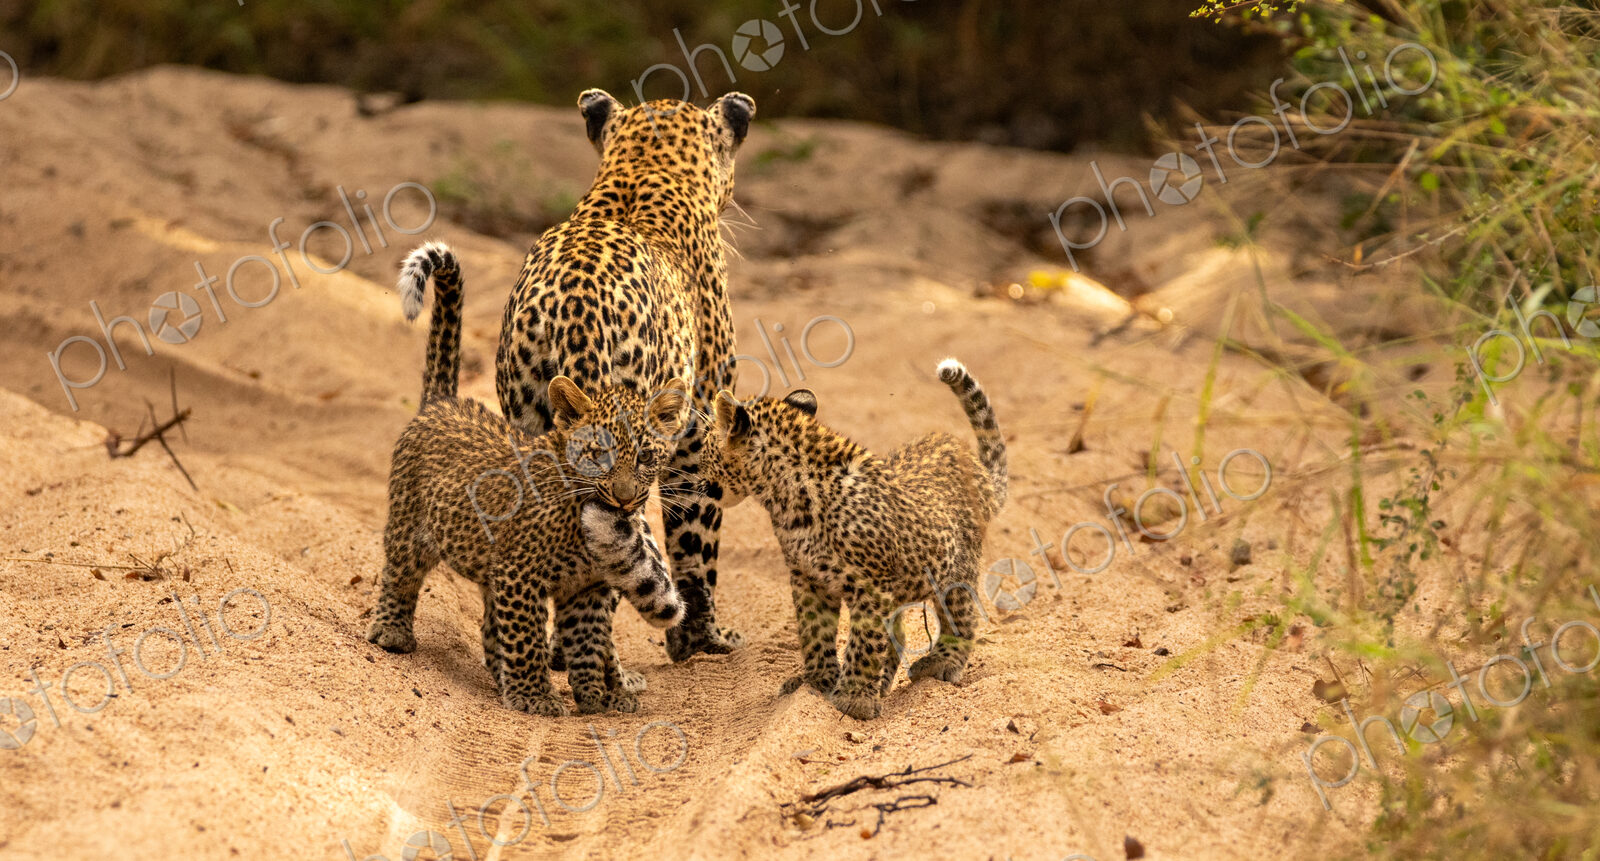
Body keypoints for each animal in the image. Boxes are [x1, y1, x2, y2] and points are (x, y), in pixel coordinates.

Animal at [366, 242, 687, 716]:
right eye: (600, 453)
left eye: (647, 456)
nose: (625, 500)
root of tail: (442, 402)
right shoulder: (520, 573)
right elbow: (527, 639)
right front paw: (536, 697)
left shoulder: (586, 589)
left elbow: (588, 641)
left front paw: (597, 697)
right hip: (410, 522)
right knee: (400, 573)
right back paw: (392, 632)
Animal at [493, 88, 757, 668]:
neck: (644, 167)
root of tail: (571, 303)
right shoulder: (698, 429)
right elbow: (696, 540)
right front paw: (702, 639)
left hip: (526, 417)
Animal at [702, 359, 1008, 720]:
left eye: (704, 446)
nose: (696, 477)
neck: (786, 500)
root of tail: (978, 469)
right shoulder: (807, 576)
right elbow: (814, 633)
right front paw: (818, 682)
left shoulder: (871, 584)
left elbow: (864, 641)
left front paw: (855, 699)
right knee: (899, 631)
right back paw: (885, 682)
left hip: (955, 570)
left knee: (960, 617)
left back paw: (939, 663)